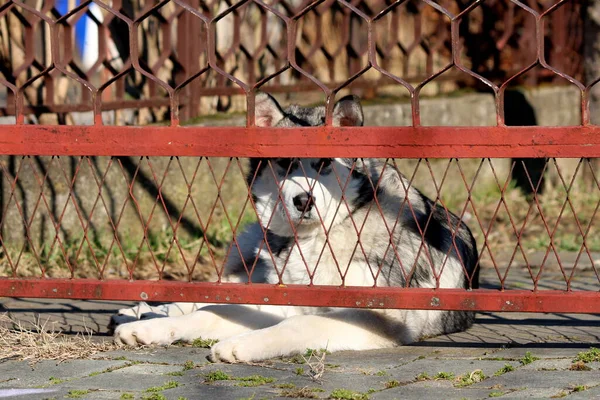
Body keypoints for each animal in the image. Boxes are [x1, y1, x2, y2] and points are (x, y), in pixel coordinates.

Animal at [111, 93, 478, 362]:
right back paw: (142, 314)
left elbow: (298, 323)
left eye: (324, 164)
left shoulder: (372, 314)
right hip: (249, 246)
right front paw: (157, 326)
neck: (319, 237)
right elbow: (213, 310)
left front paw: (240, 344)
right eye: (285, 163)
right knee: (209, 294)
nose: (304, 200)